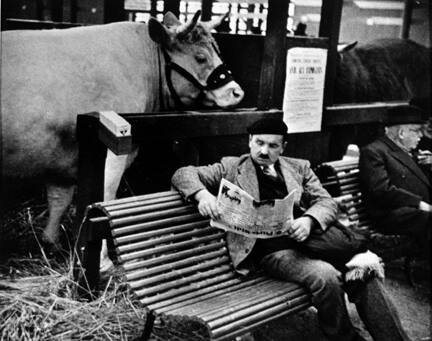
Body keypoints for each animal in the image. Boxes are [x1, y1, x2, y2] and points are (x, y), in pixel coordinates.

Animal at [0, 10, 245, 268]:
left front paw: (51, 242)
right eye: (200, 57)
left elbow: (59, 199)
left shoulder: (61, 158)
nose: (237, 92)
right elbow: (104, 199)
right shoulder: (111, 153)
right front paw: (103, 261)